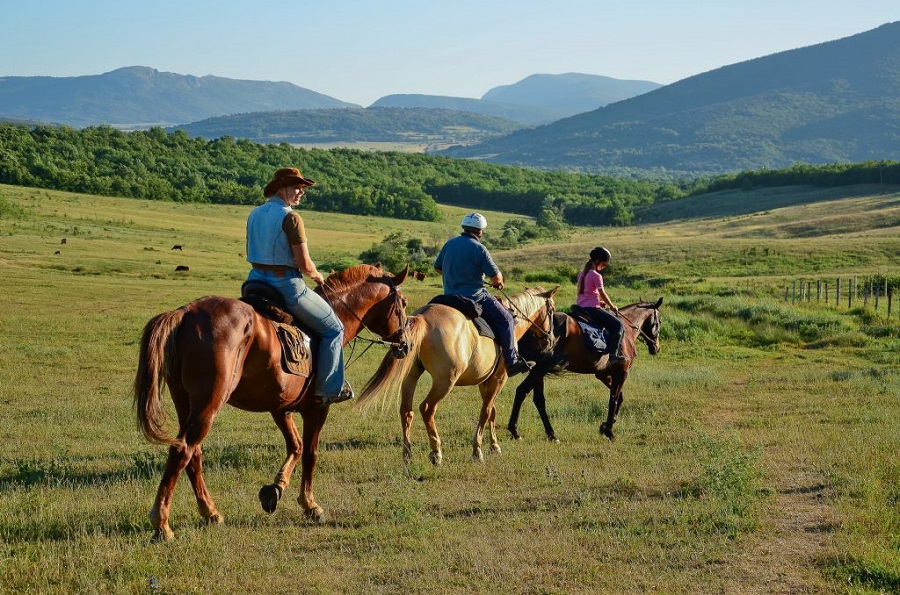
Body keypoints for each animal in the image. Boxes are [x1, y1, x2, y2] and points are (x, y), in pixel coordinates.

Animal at [133, 264, 408, 544]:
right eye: (403, 303)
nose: (404, 344)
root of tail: (185, 313)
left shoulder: (280, 407)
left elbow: (296, 447)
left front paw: (275, 489)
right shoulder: (318, 408)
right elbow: (310, 453)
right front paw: (310, 505)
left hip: (185, 402)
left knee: (192, 453)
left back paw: (210, 512)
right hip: (208, 403)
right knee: (183, 450)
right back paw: (162, 523)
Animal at [356, 288, 556, 466]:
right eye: (552, 310)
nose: (550, 340)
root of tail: (423, 318)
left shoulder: (485, 382)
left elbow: (491, 411)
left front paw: (494, 446)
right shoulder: (499, 378)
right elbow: (485, 412)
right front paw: (477, 451)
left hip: (411, 377)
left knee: (406, 411)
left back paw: (407, 455)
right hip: (445, 381)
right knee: (427, 408)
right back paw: (436, 452)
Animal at [510, 298, 664, 442]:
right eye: (659, 322)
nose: (656, 348)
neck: (627, 330)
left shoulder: (603, 374)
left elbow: (619, 398)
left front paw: (604, 426)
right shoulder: (621, 373)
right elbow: (613, 400)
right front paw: (609, 431)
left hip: (538, 370)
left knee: (533, 398)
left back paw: (545, 434)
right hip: (539, 369)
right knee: (525, 393)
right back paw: (520, 431)